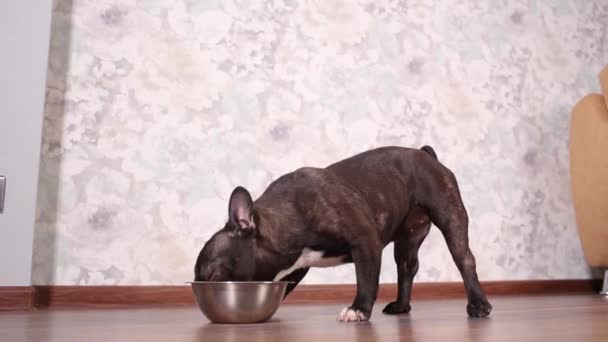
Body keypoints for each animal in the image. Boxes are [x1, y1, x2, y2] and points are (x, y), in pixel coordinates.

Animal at [197, 146, 492, 322]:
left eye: (212, 274)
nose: (199, 288)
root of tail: (425, 154)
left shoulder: (365, 243)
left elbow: (366, 280)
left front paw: (358, 309)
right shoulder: (294, 268)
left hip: (450, 215)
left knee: (464, 259)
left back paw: (478, 305)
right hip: (407, 238)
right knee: (407, 268)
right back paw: (401, 306)